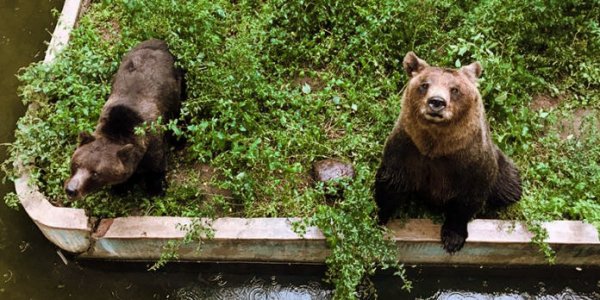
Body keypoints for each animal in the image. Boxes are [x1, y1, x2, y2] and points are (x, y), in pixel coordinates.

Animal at [63, 39, 183, 199]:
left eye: (96, 173)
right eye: (76, 164)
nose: (71, 190)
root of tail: (158, 41)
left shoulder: (153, 139)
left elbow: (156, 166)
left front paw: (156, 189)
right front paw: (120, 188)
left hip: (175, 84)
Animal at [376, 52, 520, 253]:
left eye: (455, 89)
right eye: (424, 85)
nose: (436, 102)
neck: (437, 146)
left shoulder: (471, 161)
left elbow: (466, 200)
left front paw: (453, 239)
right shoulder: (406, 148)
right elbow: (391, 183)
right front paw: (378, 216)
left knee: (509, 187)